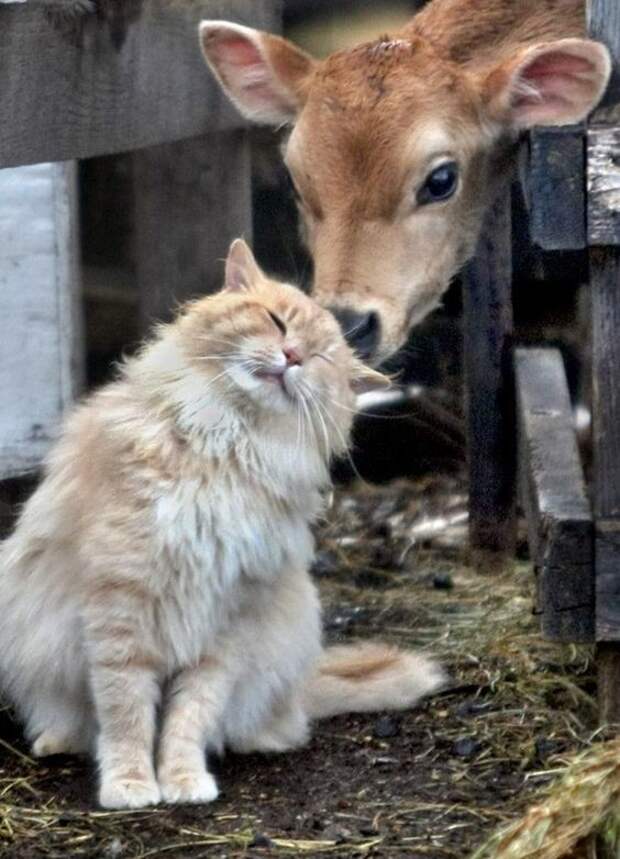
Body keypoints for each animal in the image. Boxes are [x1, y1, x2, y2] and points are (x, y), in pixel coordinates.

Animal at [0, 239, 446, 808]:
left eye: (320, 357)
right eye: (277, 322)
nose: (293, 357)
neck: (227, 447)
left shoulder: (225, 625)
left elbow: (187, 719)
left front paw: (183, 781)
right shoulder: (120, 612)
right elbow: (126, 714)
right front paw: (130, 785)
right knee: (73, 720)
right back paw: (57, 740)